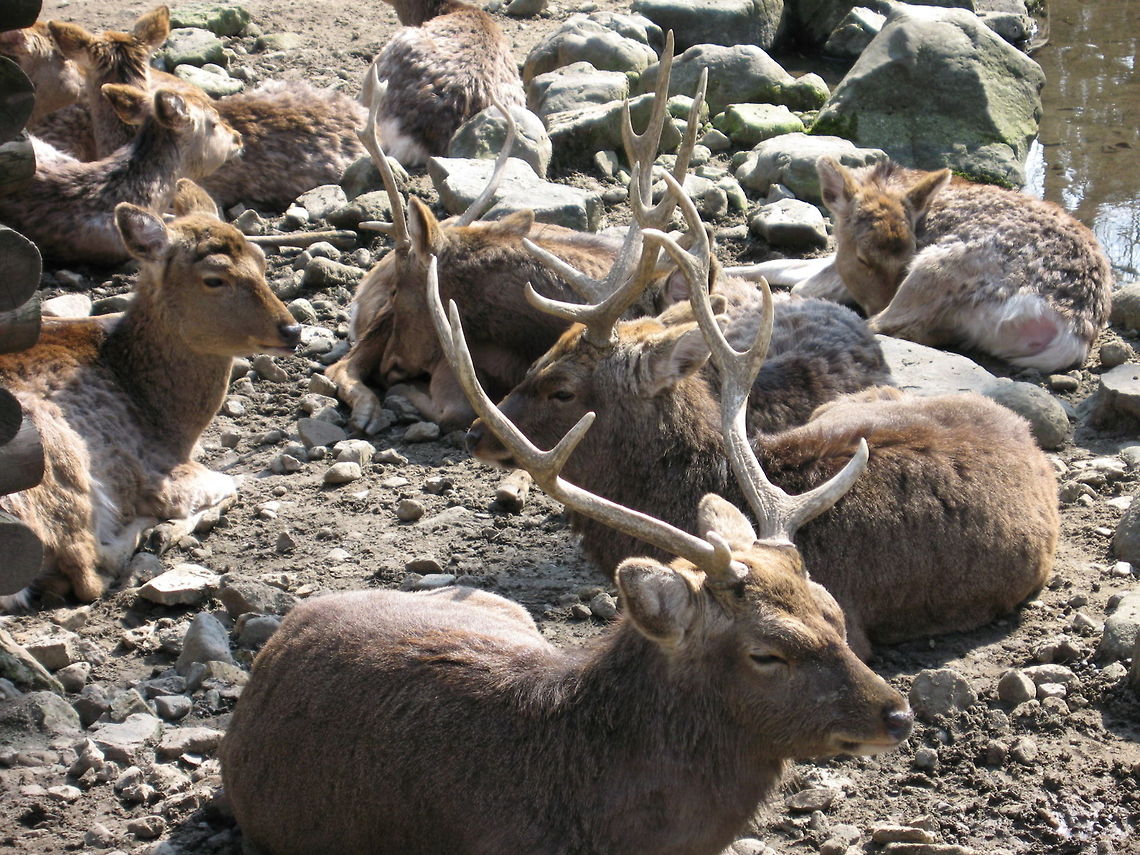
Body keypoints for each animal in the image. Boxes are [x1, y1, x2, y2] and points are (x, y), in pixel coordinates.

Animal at [0, 180, 301, 613]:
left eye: (261, 259)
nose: (292, 330)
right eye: (214, 279)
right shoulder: (158, 467)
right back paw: (149, 531)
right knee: (87, 570)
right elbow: (228, 481)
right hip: (53, 459)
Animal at [746, 158, 1114, 372]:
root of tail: (1074, 331)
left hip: (938, 267)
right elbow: (778, 266)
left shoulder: (842, 270)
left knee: (880, 324)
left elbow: (800, 281)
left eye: (906, 255)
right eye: (864, 258)